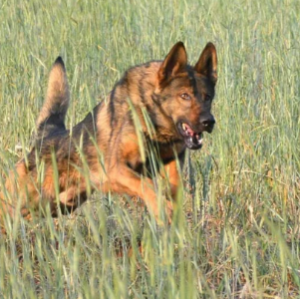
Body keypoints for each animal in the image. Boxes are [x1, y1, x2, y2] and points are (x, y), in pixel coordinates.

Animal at [1, 41, 219, 225]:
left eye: (207, 97)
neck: (152, 121)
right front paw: (162, 209)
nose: (208, 122)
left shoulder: (171, 173)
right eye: (185, 96)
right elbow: (147, 185)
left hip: (57, 205)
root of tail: (47, 136)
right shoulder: (116, 168)